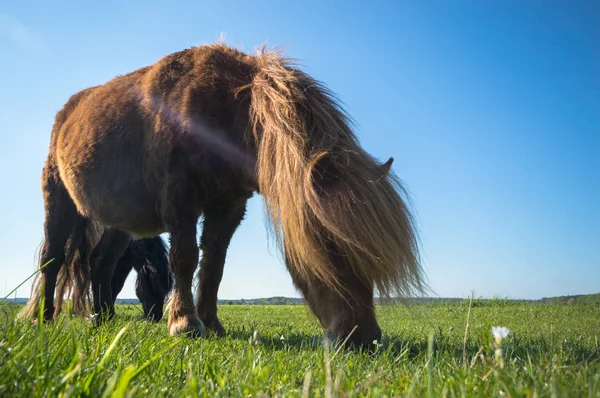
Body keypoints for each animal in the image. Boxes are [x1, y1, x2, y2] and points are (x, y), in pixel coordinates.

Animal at [17, 42, 422, 348]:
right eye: (331, 246)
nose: (365, 339)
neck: (226, 111)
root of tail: (67, 113)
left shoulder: (229, 207)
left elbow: (214, 266)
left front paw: (211, 323)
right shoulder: (180, 200)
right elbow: (185, 258)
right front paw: (184, 323)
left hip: (120, 223)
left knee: (101, 264)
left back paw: (101, 319)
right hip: (59, 200)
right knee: (53, 257)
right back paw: (43, 318)